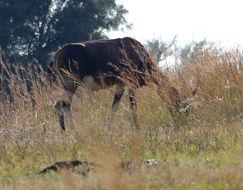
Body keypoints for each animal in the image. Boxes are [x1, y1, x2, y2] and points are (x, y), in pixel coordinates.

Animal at [46, 36, 189, 137]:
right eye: (178, 100)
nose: (181, 121)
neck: (132, 49)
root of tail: (56, 56)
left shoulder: (120, 85)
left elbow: (114, 107)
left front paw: (107, 131)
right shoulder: (130, 84)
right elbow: (133, 106)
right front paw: (138, 130)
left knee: (61, 106)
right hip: (71, 85)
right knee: (61, 106)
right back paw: (73, 136)